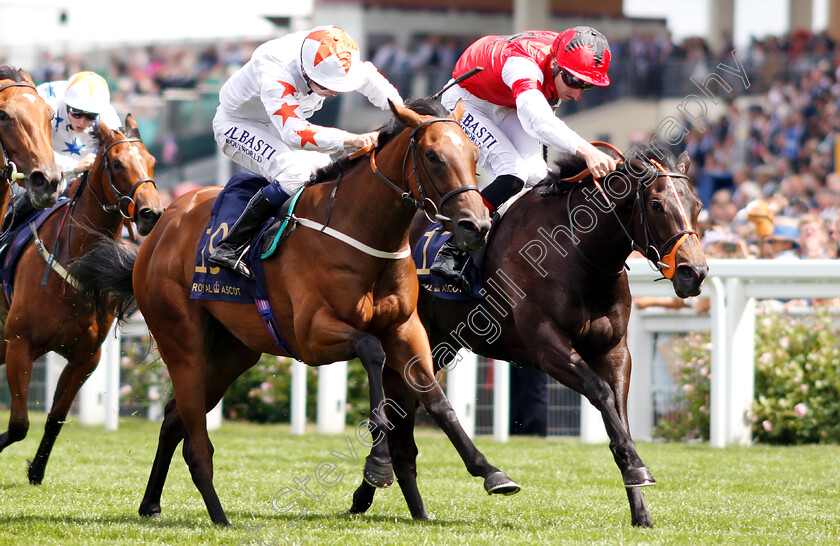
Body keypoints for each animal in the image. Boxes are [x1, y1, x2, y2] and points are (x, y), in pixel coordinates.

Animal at [0, 115, 162, 480]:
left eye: (152, 161)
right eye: (117, 163)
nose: (152, 213)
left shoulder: (85, 357)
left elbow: (55, 419)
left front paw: (36, 471)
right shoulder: (20, 344)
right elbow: (18, 424)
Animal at [348, 142, 708, 524]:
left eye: (697, 205)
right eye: (656, 205)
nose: (695, 272)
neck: (576, 250)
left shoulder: (614, 350)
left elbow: (619, 411)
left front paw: (640, 505)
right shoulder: (546, 347)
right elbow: (600, 393)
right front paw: (637, 468)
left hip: (438, 343)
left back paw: (386, 497)